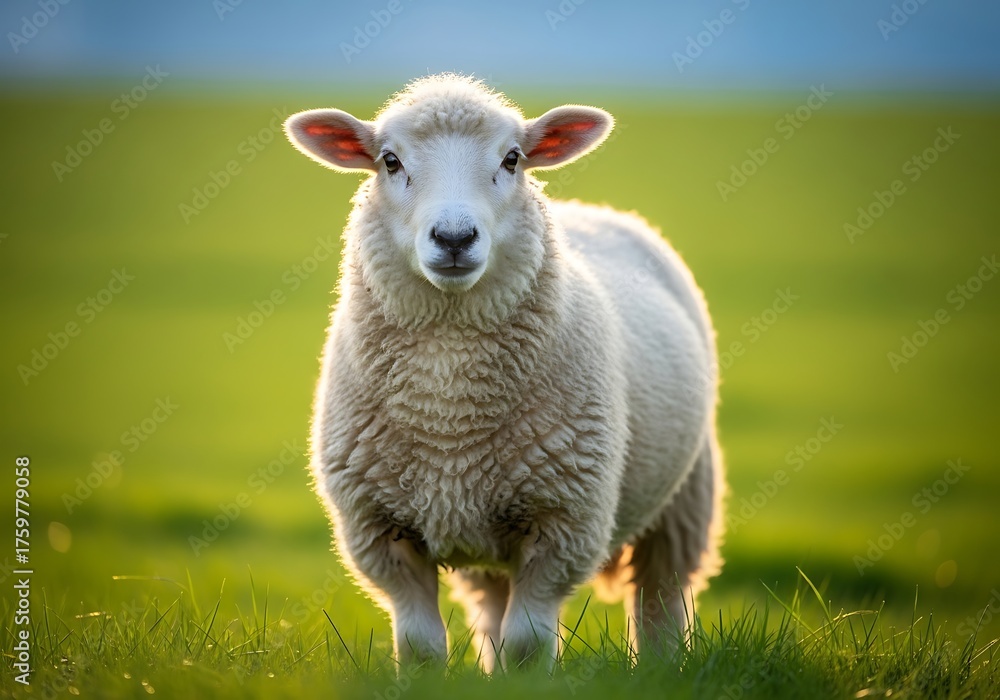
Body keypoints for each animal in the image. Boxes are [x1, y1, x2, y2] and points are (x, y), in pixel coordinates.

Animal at [283, 74, 725, 672]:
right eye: (390, 161)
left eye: (512, 158)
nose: (453, 238)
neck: (449, 410)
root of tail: (592, 209)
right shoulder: (379, 530)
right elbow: (421, 646)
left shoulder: (564, 522)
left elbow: (528, 643)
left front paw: (528, 679)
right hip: (478, 534)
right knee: (493, 605)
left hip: (686, 495)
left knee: (661, 594)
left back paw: (660, 666)